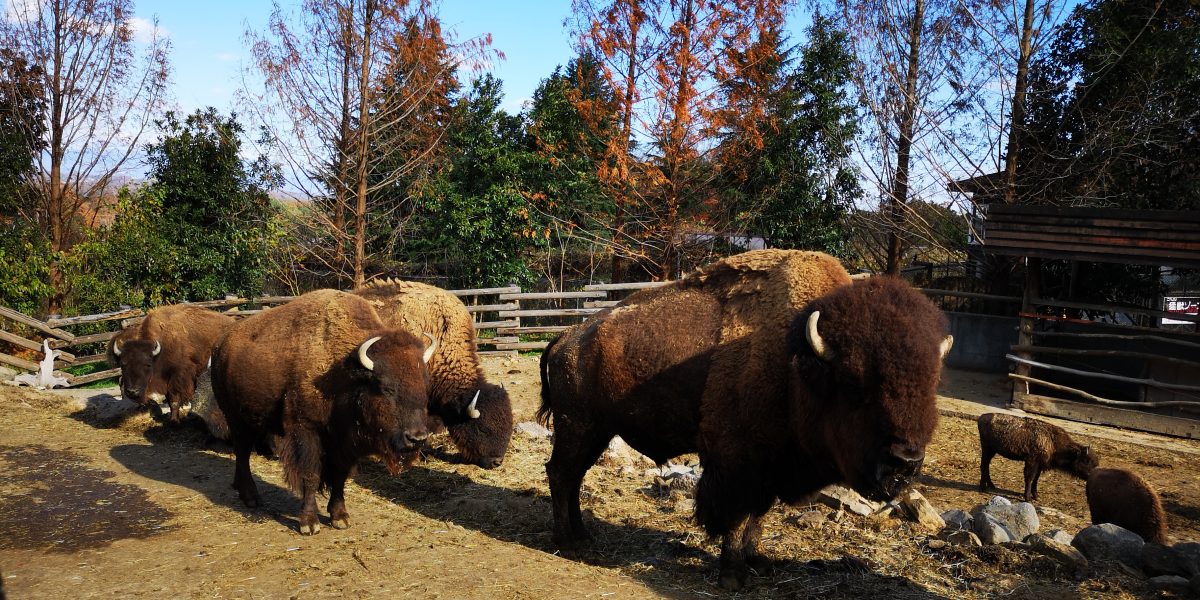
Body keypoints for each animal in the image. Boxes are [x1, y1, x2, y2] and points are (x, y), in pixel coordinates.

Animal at [106, 304, 235, 436]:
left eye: (147, 364)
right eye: (123, 364)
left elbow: (174, 400)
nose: (132, 392)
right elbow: (169, 400)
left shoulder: (178, 377)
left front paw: (174, 422)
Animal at [213, 290, 439, 535]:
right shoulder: (306, 430)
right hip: (236, 419)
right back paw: (251, 498)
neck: (344, 374)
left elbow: (339, 476)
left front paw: (340, 517)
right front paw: (309, 523)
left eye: (425, 386)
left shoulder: (344, 442)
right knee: (243, 453)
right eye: (385, 387)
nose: (416, 438)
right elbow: (310, 474)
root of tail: (221, 345)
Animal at [540, 249, 950, 590]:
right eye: (853, 383)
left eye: (931, 384)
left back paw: (582, 535)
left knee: (573, 476)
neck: (795, 362)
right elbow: (737, 516)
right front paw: (733, 575)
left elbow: (758, 515)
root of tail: (564, 339)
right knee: (561, 473)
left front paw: (758, 560)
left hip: (597, 431)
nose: (905, 462)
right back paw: (570, 543)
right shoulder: (737, 463)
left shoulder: (769, 465)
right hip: (579, 427)